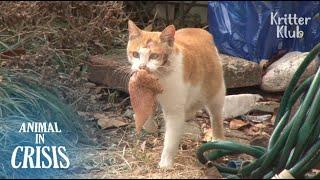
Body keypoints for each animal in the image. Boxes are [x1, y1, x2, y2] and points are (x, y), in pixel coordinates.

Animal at [125, 20, 225, 169]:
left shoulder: (174, 111)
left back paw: (218, 140)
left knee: (215, 116)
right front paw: (148, 125)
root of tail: (202, 31)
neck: (160, 75)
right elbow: (147, 108)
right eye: (135, 54)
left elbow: (171, 139)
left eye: (154, 56)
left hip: (215, 92)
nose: (142, 67)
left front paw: (166, 163)